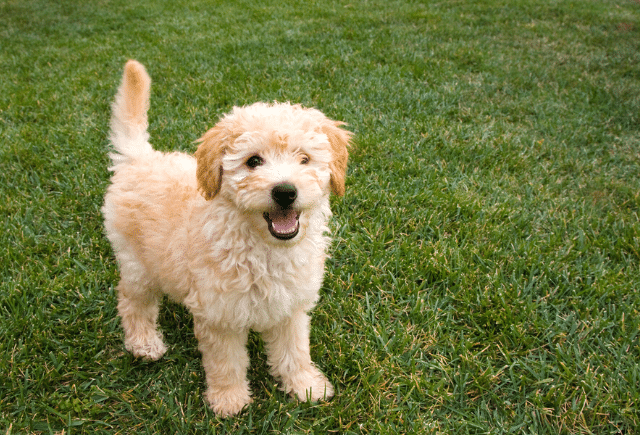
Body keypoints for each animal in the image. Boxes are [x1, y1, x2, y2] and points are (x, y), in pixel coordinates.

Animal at [101, 59, 350, 418]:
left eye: (304, 159)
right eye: (253, 161)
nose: (285, 191)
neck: (262, 247)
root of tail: (140, 158)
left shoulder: (290, 306)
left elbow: (295, 351)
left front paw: (306, 386)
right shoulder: (220, 316)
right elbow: (226, 363)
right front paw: (230, 400)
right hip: (137, 263)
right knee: (131, 302)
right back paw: (144, 343)